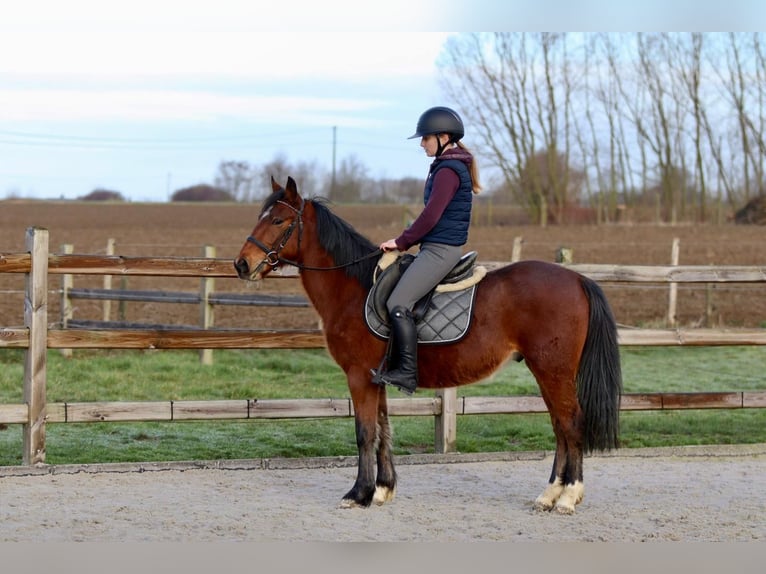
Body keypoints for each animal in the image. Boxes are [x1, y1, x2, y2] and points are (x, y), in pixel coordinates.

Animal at [234, 176, 622, 514]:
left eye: (279, 219)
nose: (241, 264)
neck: (354, 289)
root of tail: (577, 279)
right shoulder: (377, 378)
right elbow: (383, 429)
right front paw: (383, 489)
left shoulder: (358, 376)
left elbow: (364, 433)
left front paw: (358, 493)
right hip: (547, 371)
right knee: (559, 426)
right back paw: (549, 495)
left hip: (552, 369)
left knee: (571, 424)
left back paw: (568, 498)